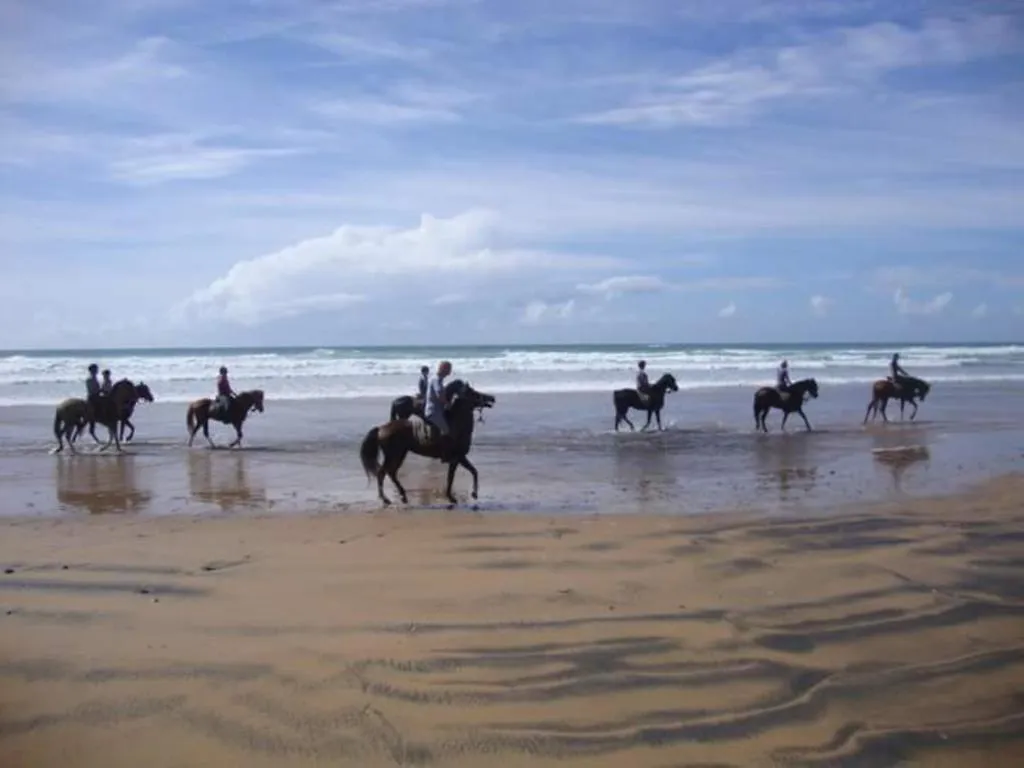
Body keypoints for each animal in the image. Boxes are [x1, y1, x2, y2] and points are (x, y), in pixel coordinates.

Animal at [360, 380, 495, 512]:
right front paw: (458, 496)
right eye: (473, 393)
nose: (492, 398)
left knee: (391, 473)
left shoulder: (459, 458)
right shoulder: (457, 458)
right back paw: (386, 499)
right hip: (394, 455)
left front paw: (469, 494)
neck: (456, 425)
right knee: (382, 473)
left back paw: (403, 496)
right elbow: (453, 477)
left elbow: (472, 472)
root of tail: (380, 429)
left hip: (400, 454)